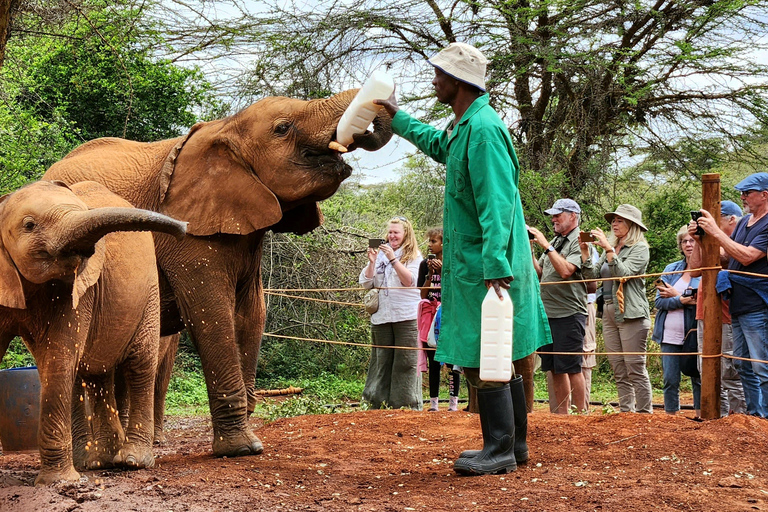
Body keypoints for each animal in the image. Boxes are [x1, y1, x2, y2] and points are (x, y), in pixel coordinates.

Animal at [0, 180, 186, 484]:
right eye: (29, 225)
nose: (185, 227)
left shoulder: (76, 290)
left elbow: (59, 358)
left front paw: (58, 482)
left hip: (149, 293)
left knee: (139, 366)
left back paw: (132, 461)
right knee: (93, 373)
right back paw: (97, 461)